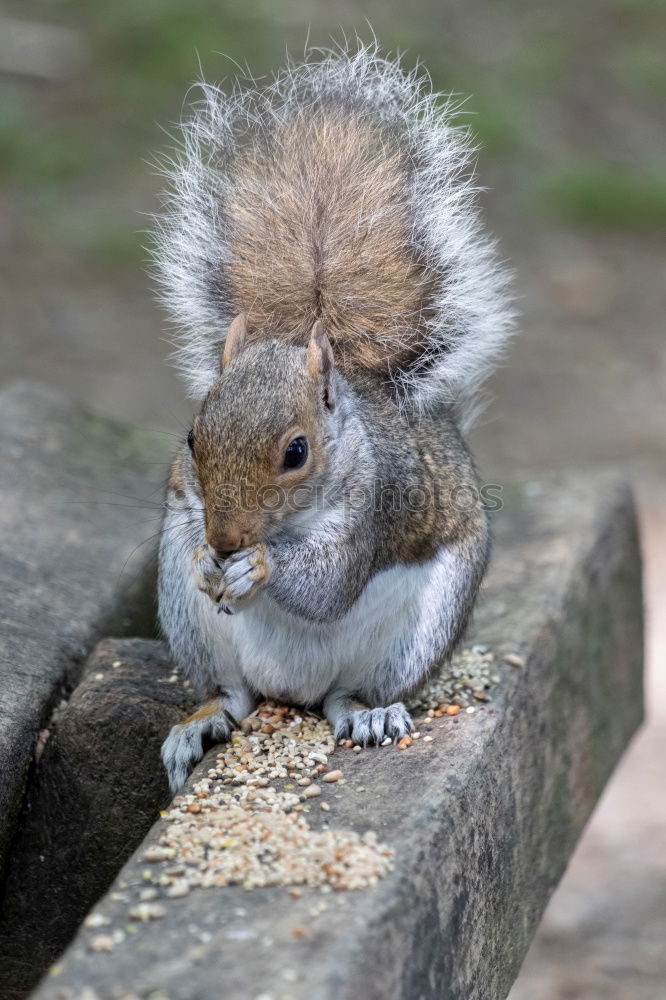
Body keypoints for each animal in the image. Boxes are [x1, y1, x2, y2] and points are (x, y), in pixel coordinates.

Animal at [152, 47, 512, 792]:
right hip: (189, 623)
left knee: (348, 695)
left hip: (414, 639)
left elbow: (326, 585)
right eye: (192, 440)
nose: (224, 540)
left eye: (296, 453)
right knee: (232, 694)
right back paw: (202, 720)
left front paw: (258, 566)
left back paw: (368, 715)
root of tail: (291, 692)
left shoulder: (371, 507)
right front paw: (211, 561)